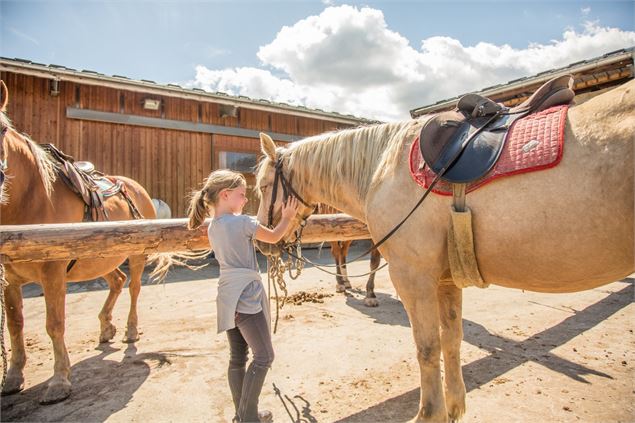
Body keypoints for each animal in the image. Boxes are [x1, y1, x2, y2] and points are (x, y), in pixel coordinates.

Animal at [0, 80, 169, 404]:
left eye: (2, 129)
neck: (32, 197)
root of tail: (135, 185)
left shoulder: (53, 271)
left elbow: (54, 324)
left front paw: (59, 382)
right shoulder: (9, 278)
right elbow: (15, 325)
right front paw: (13, 377)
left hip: (134, 256)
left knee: (133, 287)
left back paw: (129, 329)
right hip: (98, 257)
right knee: (116, 281)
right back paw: (106, 327)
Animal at [255, 81, 635, 422]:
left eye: (263, 185)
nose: (260, 241)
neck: (383, 165)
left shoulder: (414, 276)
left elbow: (428, 347)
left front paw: (431, 413)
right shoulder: (447, 278)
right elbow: (451, 340)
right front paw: (453, 408)